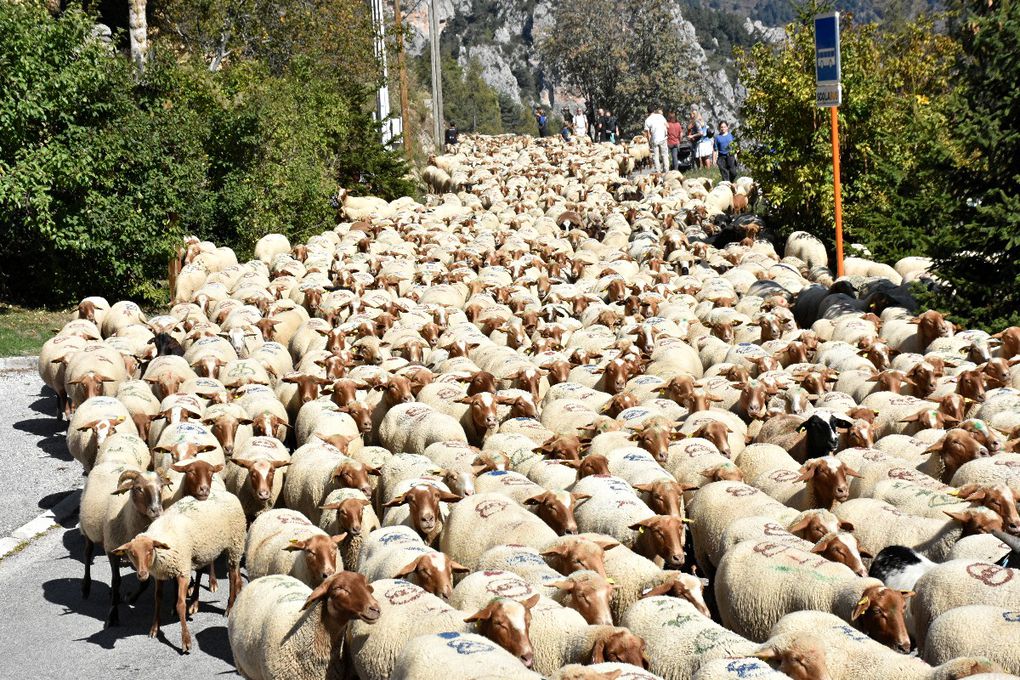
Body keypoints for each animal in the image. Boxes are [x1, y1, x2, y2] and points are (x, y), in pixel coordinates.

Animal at [112, 489, 245, 652]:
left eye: (150, 550)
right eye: (132, 554)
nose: (142, 575)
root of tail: (226, 492)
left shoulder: (182, 572)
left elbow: (181, 604)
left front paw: (185, 640)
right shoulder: (160, 574)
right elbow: (158, 598)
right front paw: (154, 628)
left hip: (234, 544)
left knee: (232, 575)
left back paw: (229, 607)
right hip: (203, 551)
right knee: (206, 572)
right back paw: (197, 602)